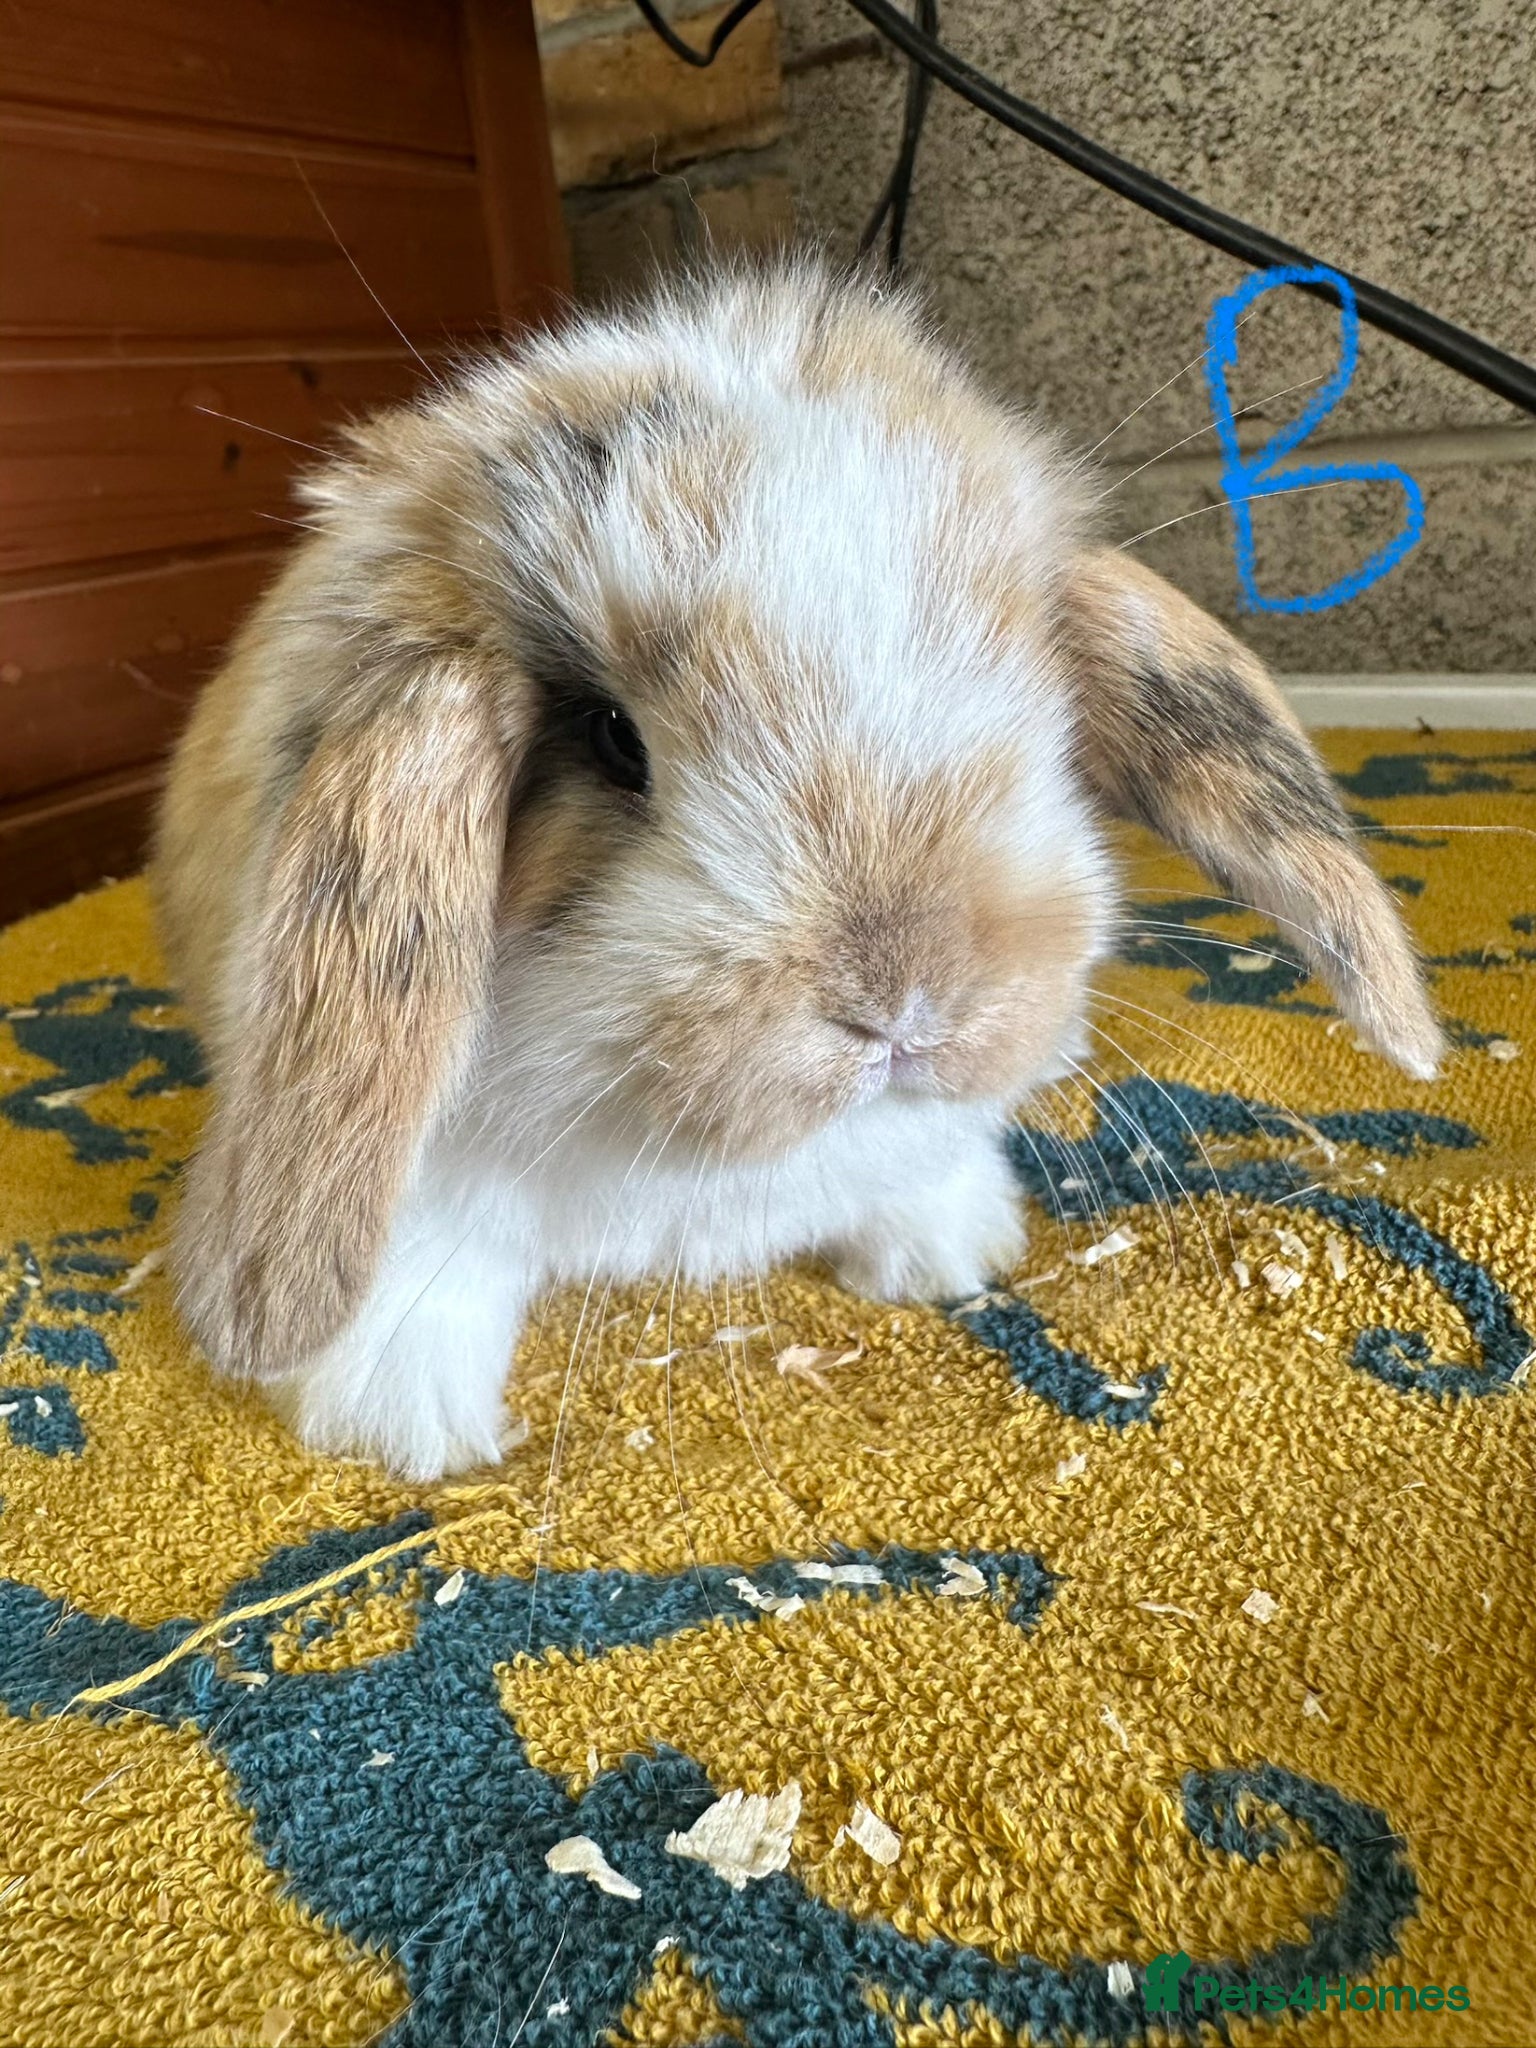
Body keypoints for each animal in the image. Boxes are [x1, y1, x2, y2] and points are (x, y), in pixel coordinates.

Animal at [153, 259, 1444, 1480]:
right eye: (613, 738)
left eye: (1039, 697)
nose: (906, 1003)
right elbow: (430, 1267)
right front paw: (397, 1426)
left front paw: (949, 1254)